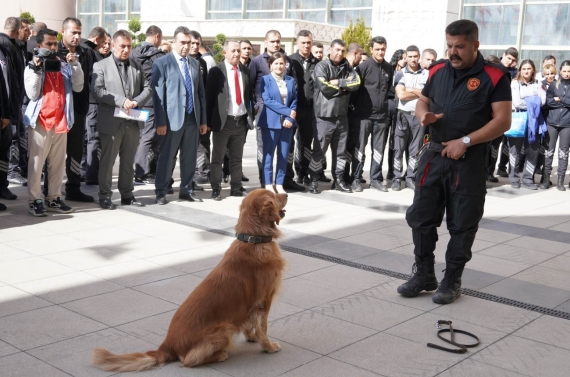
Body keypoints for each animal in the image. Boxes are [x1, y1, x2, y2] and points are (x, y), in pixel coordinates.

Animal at [93, 188, 288, 370]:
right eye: (273, 196)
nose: (286, 194)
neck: (254, 240)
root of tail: (167, 345)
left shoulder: (250, 305)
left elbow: (250, 324)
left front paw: (252, 337)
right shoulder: (263, 302)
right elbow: (263, 328)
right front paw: (268, 346)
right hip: (223, 329)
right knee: (189, 360)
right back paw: (220, 355)